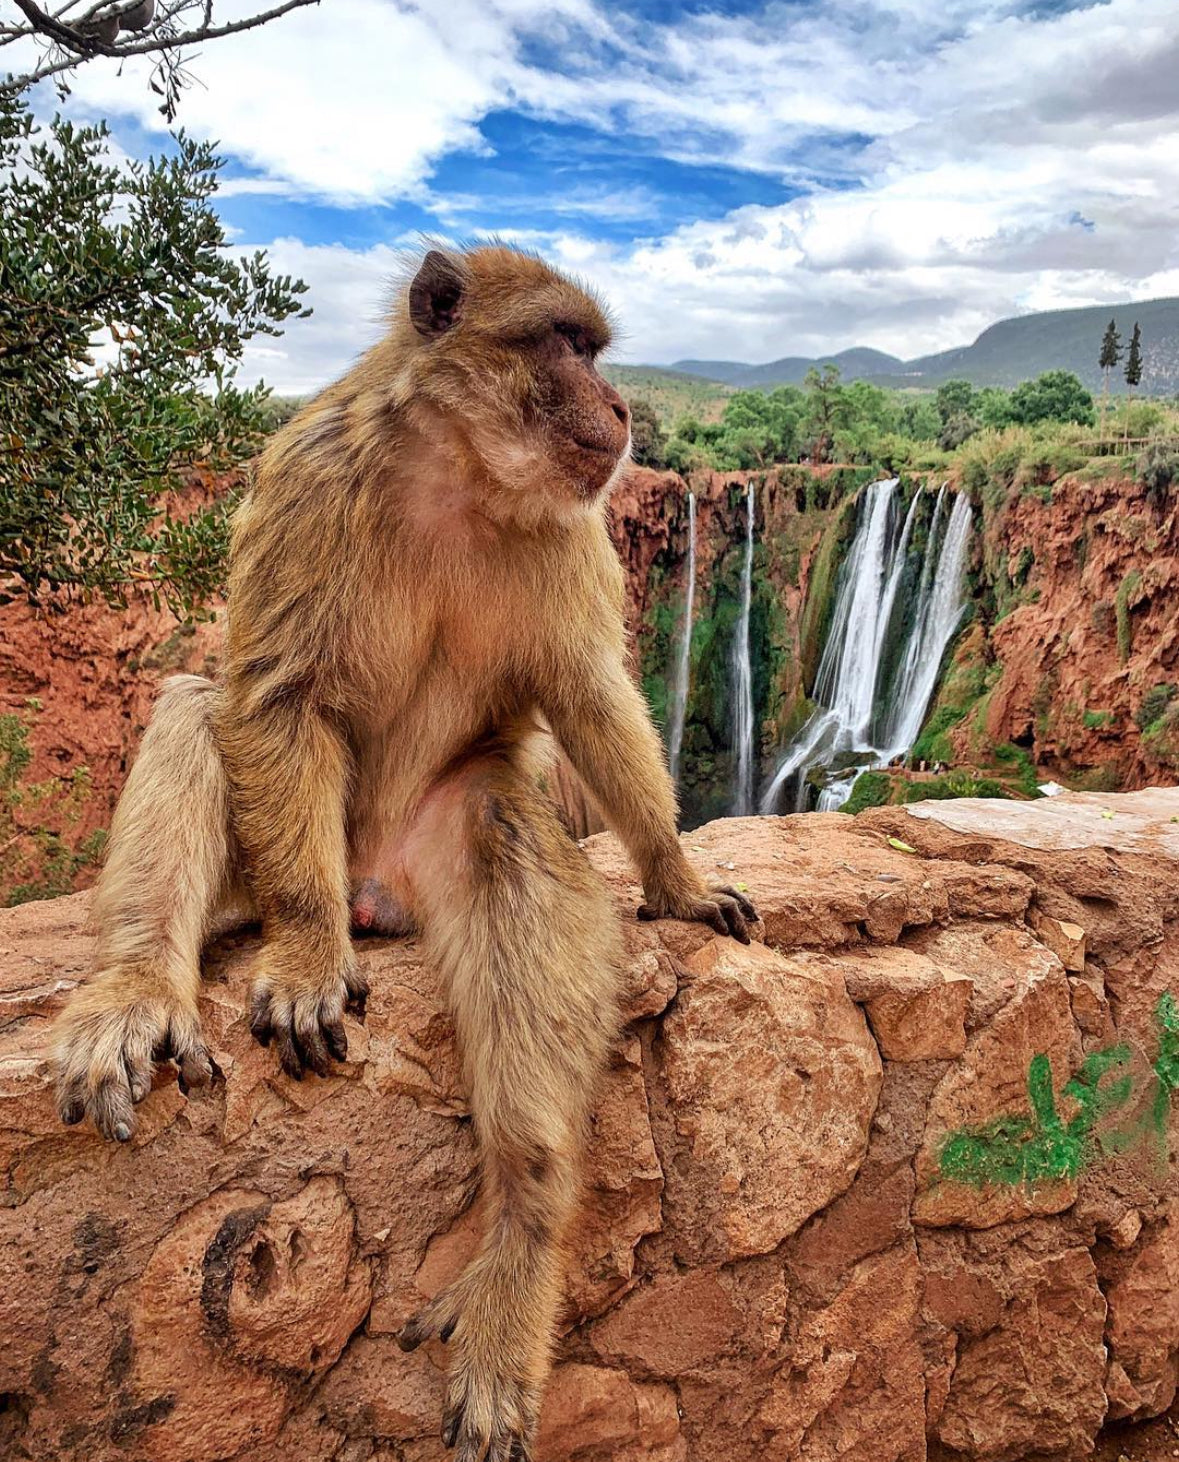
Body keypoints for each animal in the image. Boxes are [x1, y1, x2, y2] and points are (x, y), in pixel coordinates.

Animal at [53, 245, 754, 1456]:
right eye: (567, 343)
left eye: (598, 350)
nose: (623, 411)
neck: (461, 476)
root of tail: (374, 886)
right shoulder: (307, 478)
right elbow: (274, 695)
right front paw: (303, 962)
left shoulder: (572, 532)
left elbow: (586, 693)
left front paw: (676, 876)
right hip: (290, 853)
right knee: (196, 708)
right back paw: (145, 988)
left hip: (434, 833)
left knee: (502, 836)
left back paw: (522, 1235)